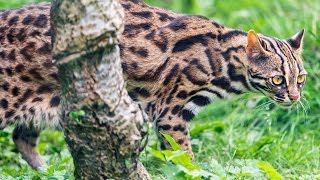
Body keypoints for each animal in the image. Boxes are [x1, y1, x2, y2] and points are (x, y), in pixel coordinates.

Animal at [0, 0, 306, 169]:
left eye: (300, 79)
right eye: (277, 79)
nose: (294, 97)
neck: (223, 60)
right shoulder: (171, 112)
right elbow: (184, 155)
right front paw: (193, 171)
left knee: (22, 137)